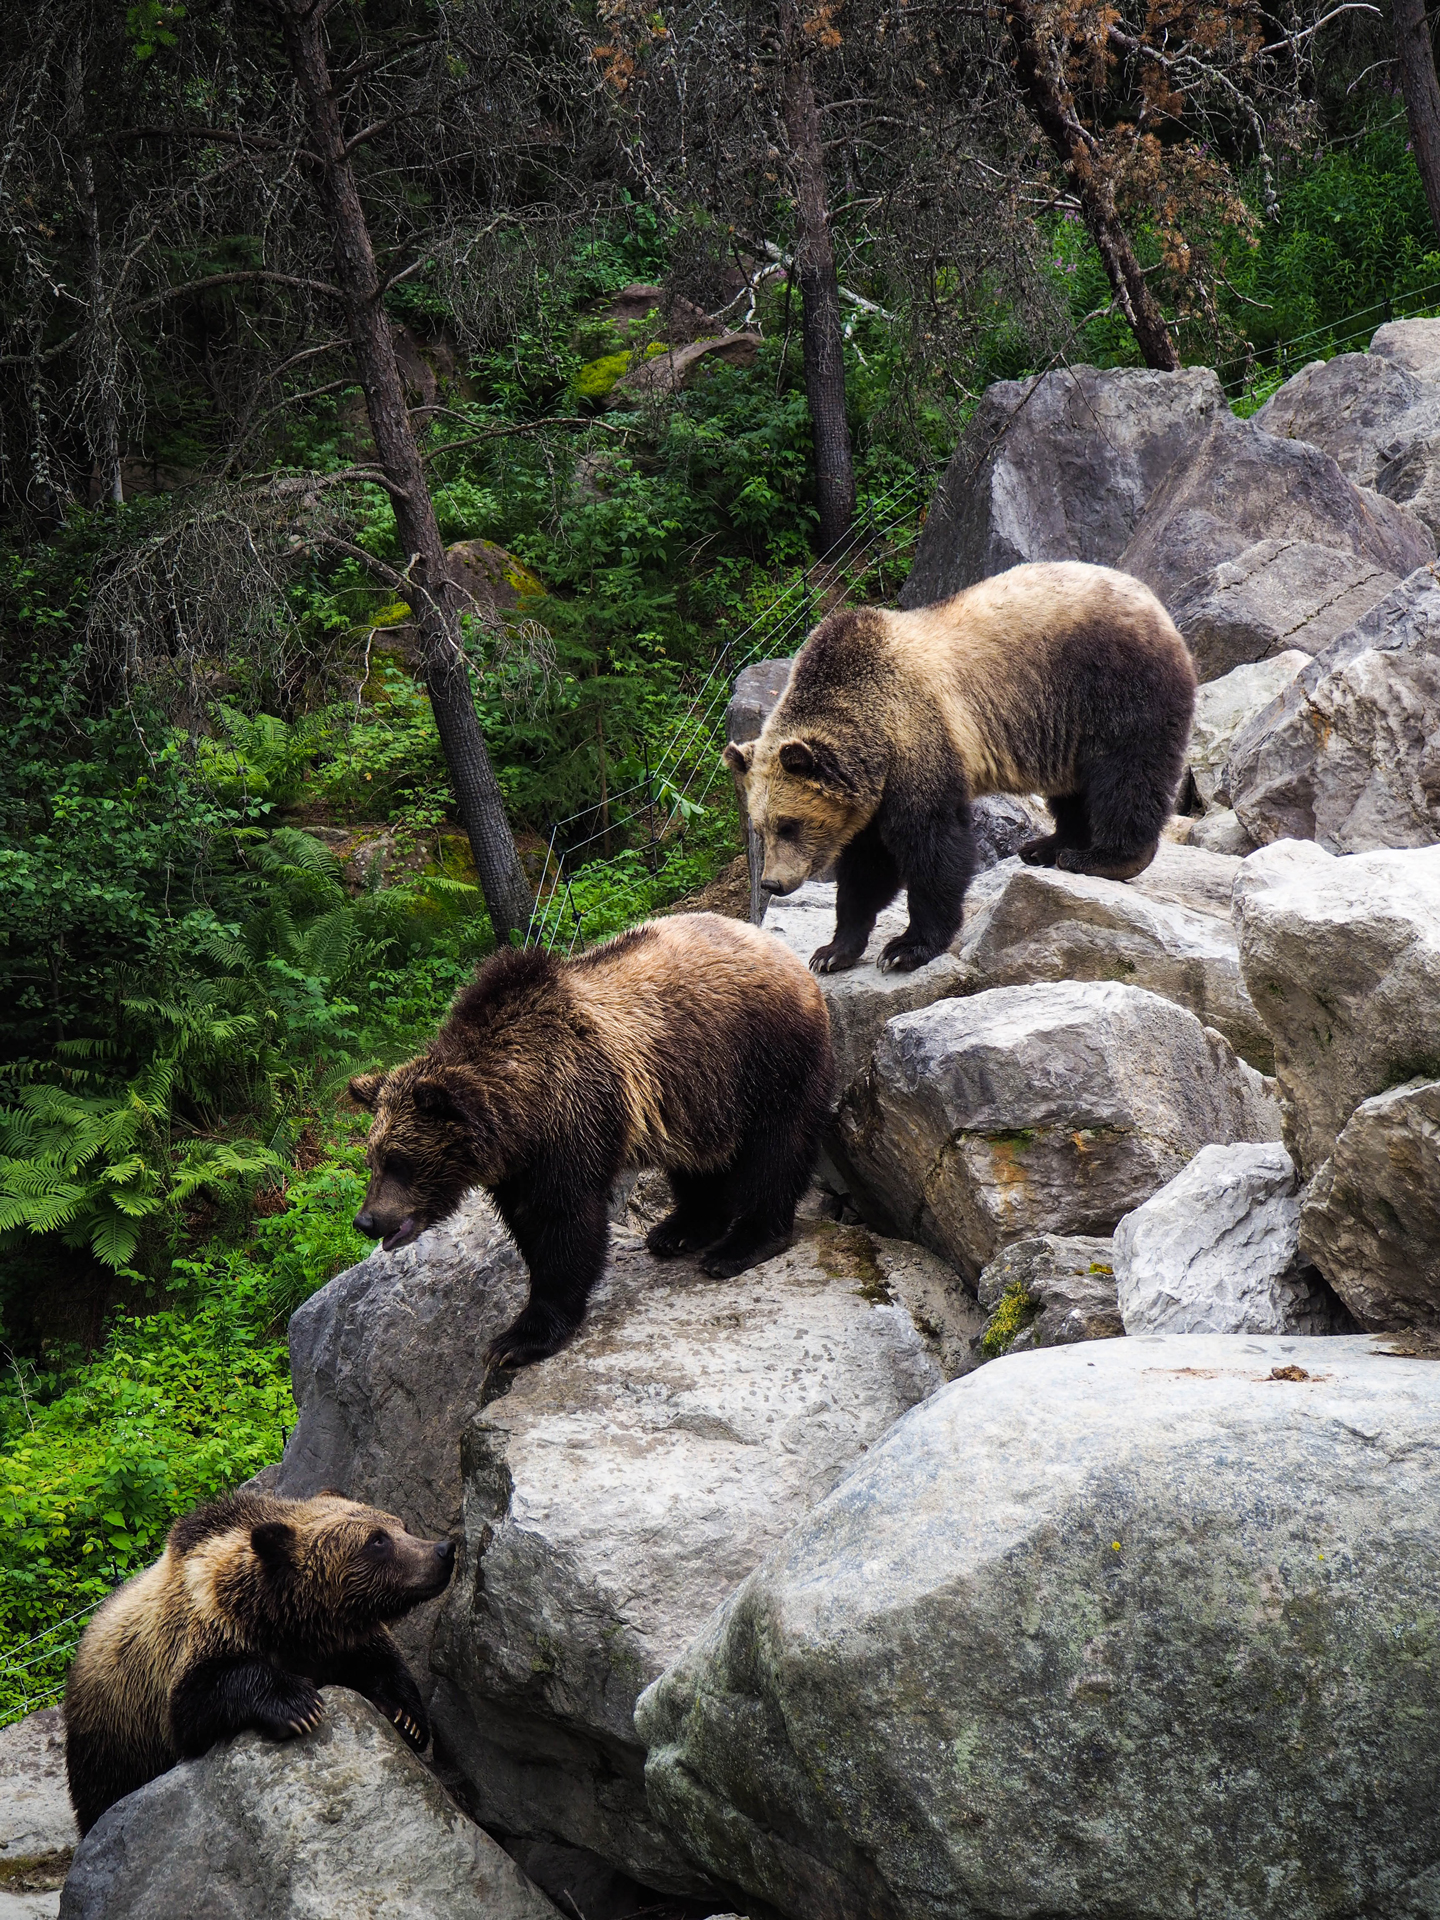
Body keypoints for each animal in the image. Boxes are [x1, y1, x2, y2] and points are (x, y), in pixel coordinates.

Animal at [64, 1489, 453, 1836]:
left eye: (400, 1525)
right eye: (376, 1540)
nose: (443, 1550)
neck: (285, 1621)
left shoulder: (339, 1643)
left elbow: (382, 1663)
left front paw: (407, 1718)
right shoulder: (200, 1639)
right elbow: (198, 1699)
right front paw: (299, 1705)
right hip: (114, 1738)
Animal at [348, 911, 835, 1371]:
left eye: (399, 1161)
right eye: (372, 1159)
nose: (366, 1221)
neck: (521, 1112)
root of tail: (779, 949)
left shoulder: (573, 1119)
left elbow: (565, 1226)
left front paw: (519, 1339)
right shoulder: (520, 1164)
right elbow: (529, 1226)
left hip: (765, 1057)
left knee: (777, 1149)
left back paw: (740, 1245)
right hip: (698, 1093)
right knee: (699, 1161)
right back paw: (680, 1229)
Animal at [724, 560, 1197, 975]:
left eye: (789, 824)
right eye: (760, 827)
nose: (771, 884)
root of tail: (1151, 599)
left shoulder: (918, 741)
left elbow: (934, 846)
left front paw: (907, 947)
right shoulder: (870, 796)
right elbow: (866, 869)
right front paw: (832, 951)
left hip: (1112, 684)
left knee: (1127, 772)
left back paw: (1104, 857)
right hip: (1063, 724)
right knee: (1074, 788)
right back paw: (1047, 846)